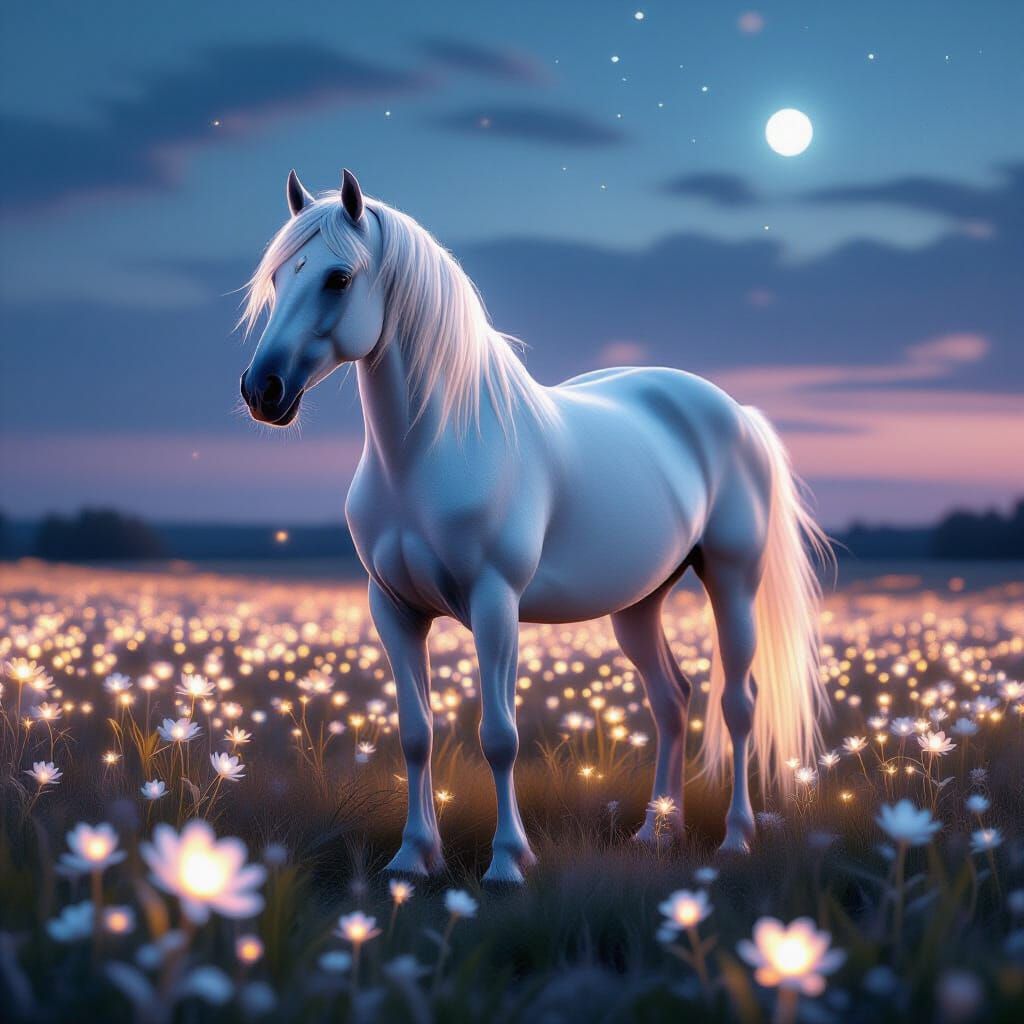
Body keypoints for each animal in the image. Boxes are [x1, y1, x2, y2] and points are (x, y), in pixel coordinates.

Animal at [240, 169, 830, 883]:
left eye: (338, 278)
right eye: (277, 278)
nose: (262, 390)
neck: (432, 449)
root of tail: (735, 412)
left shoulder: (495, 604)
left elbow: (500, 737)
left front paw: (507, 862)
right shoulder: (394, 610)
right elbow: (416, 734)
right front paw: (413, 857)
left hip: (733, 580)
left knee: (738, 705)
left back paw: (736, 839)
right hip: (639, 603)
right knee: (671, 698)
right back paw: (657, 833)